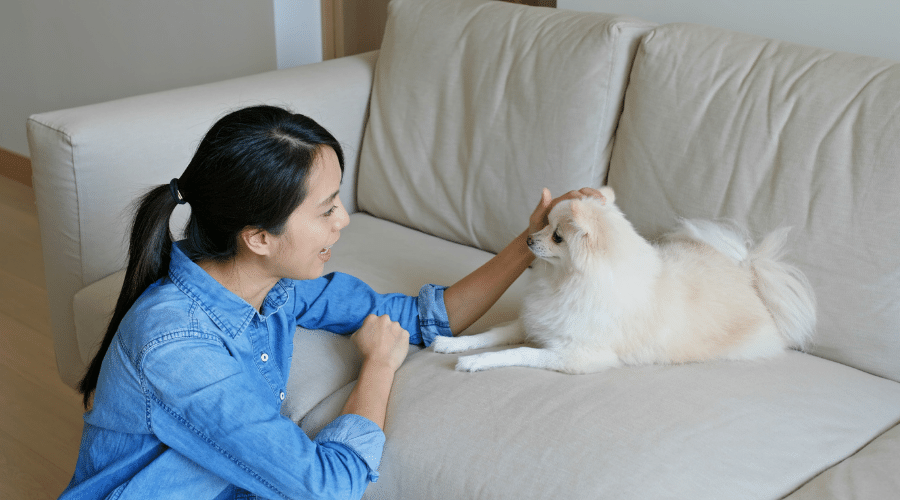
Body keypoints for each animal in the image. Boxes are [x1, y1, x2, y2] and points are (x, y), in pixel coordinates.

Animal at [432, 186, 820, 374]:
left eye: (556, 236)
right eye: (544, 223)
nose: (527, 240)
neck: (566, 281)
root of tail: (745, 273)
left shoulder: (577, 354)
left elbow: (521, 353)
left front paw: (477, 362)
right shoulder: (535, 321)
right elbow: (492, 334)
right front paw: (453, 343)